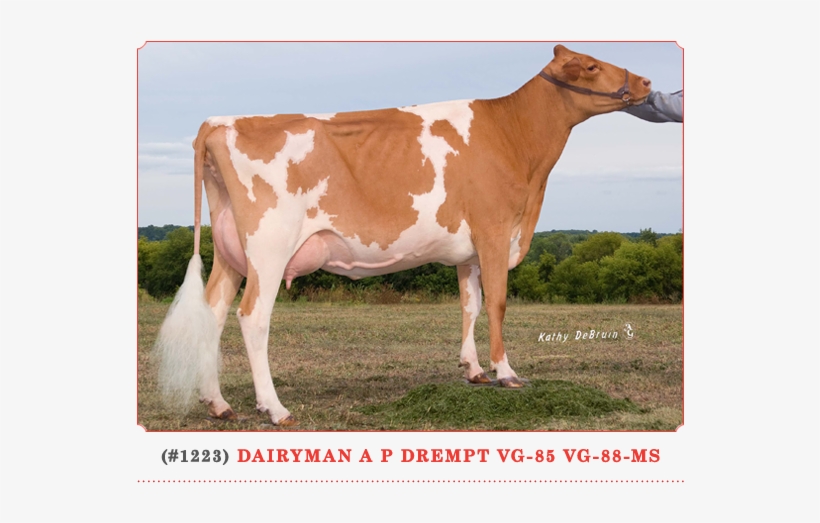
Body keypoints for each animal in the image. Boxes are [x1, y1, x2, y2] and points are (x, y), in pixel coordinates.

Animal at [155, 44, 652, 426]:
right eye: (591, 65)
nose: (647, 81)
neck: (513, 138)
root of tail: (221, 121)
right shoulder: (495, 232)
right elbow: (497, 303)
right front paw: (506, 373)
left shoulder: (469, 250)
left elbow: (470, 305)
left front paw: (473, 370)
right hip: (270, 246)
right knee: (252, 317)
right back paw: (275, 409)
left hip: (230, 252)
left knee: (213, 313)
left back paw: (218, 403)